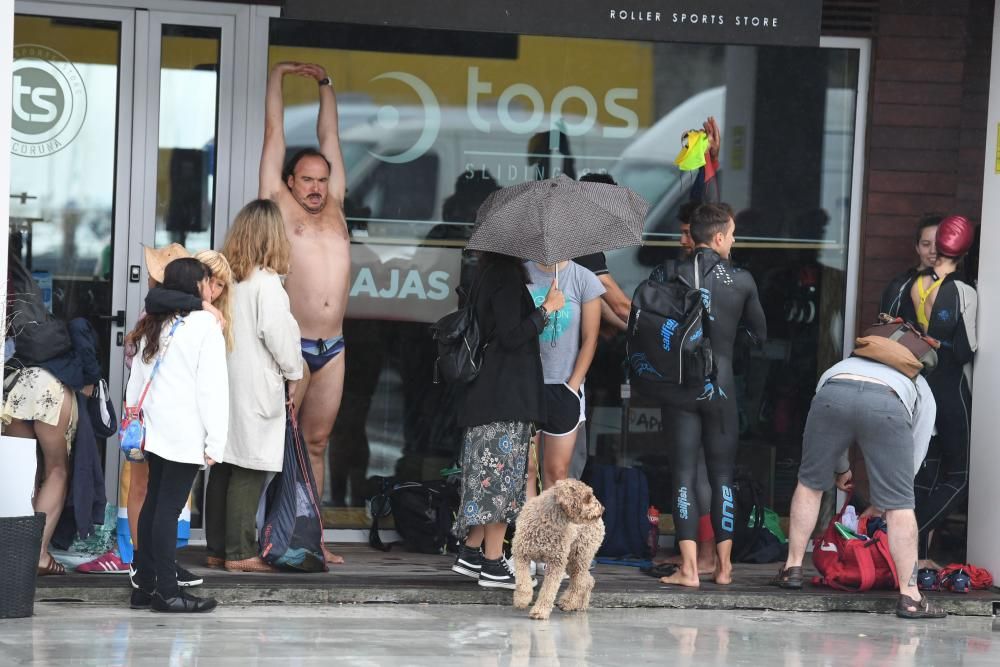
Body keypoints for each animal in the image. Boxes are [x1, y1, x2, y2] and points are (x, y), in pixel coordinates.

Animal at [512, 480, 604, 620]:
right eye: (587, 497)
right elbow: (523, 582)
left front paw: (540, 611)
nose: (602, 509)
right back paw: (581, 605)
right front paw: (521, 600)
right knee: (587, 580)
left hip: (579, 555)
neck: (547, 521)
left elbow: (548, 590)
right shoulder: (521, 554)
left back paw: (569, 603)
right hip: (573, 560)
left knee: (580, 582)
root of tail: (600, 522)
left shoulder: (556, 562)